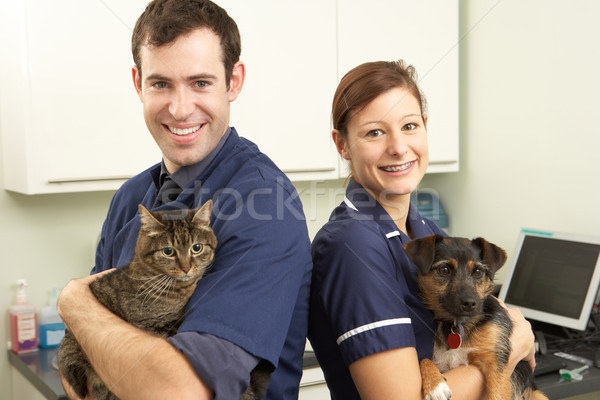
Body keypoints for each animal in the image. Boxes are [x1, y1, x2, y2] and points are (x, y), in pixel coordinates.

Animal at [404, 234, 548, 400]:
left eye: (478, 272)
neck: (456, 324)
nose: (470, 303)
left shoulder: (496, 363)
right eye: (444, 270)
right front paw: (435, 385)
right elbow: (423, 359)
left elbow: (497, 394)